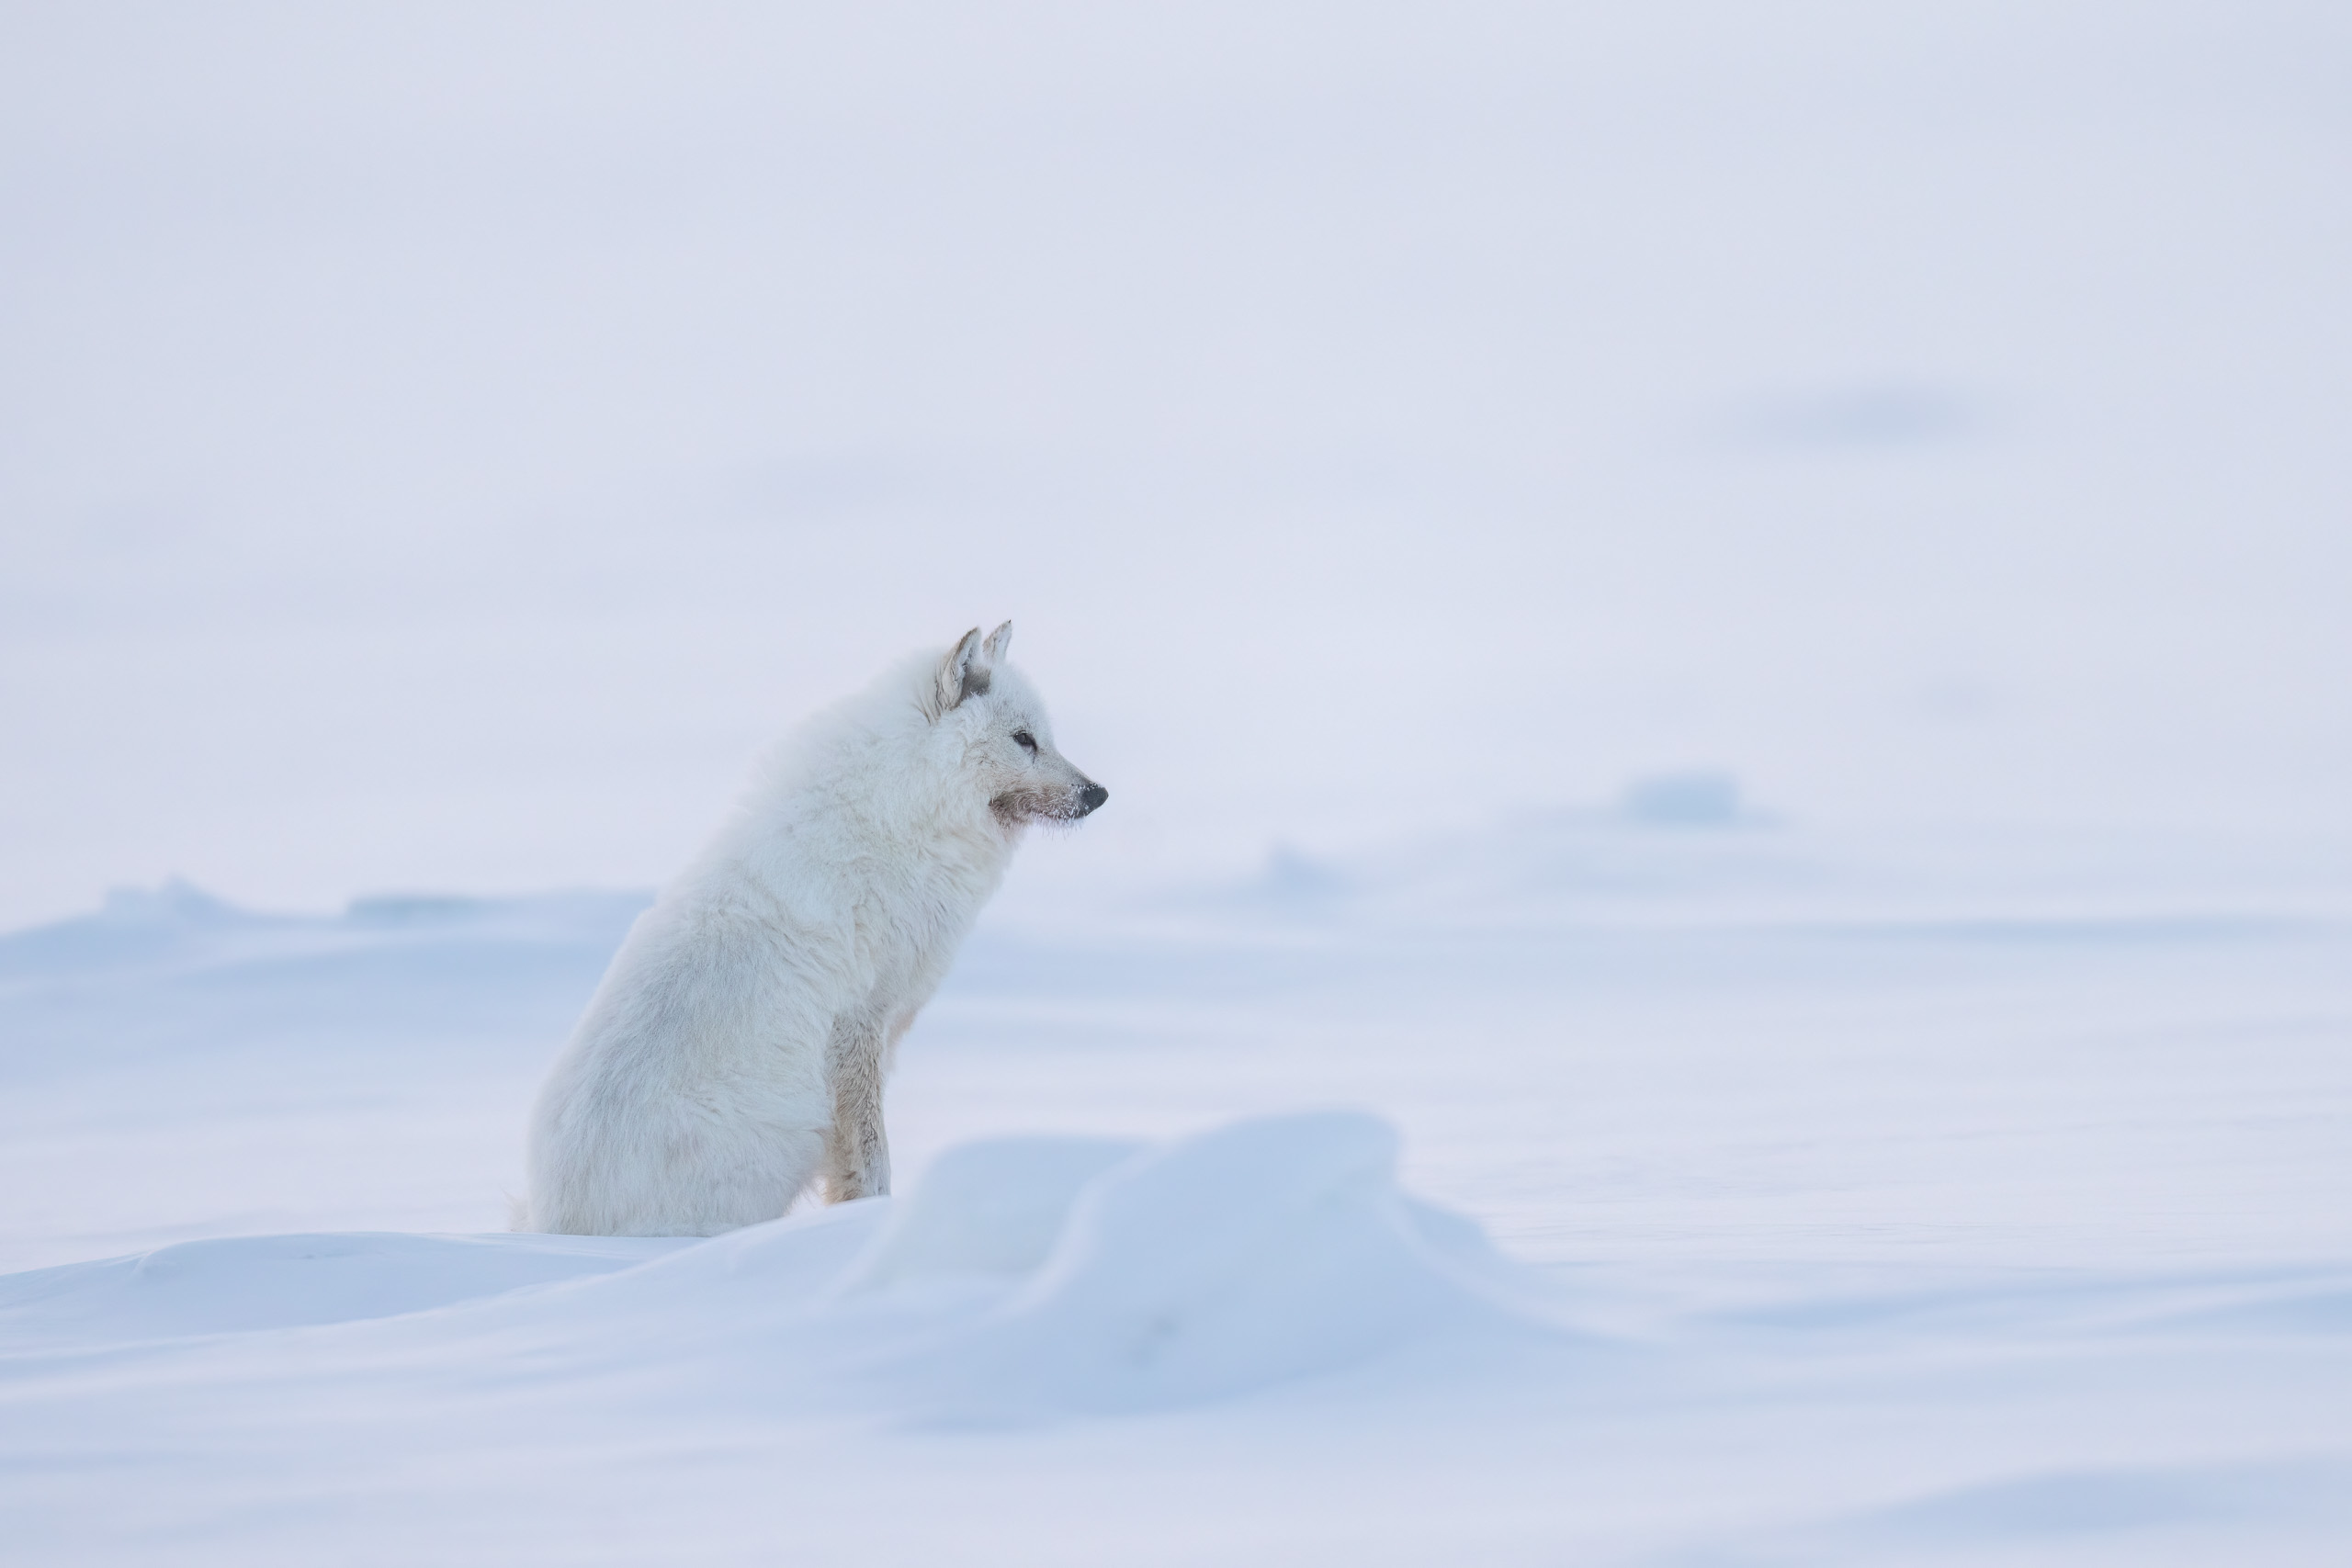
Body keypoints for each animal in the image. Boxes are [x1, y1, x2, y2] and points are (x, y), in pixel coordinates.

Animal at [523, 623, 1105, 1236]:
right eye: (1023, 739)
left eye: (1045, 737)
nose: (1098, 793)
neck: (902, 810)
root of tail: (554, 1219)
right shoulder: (855, 1025)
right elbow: (869, 1158)